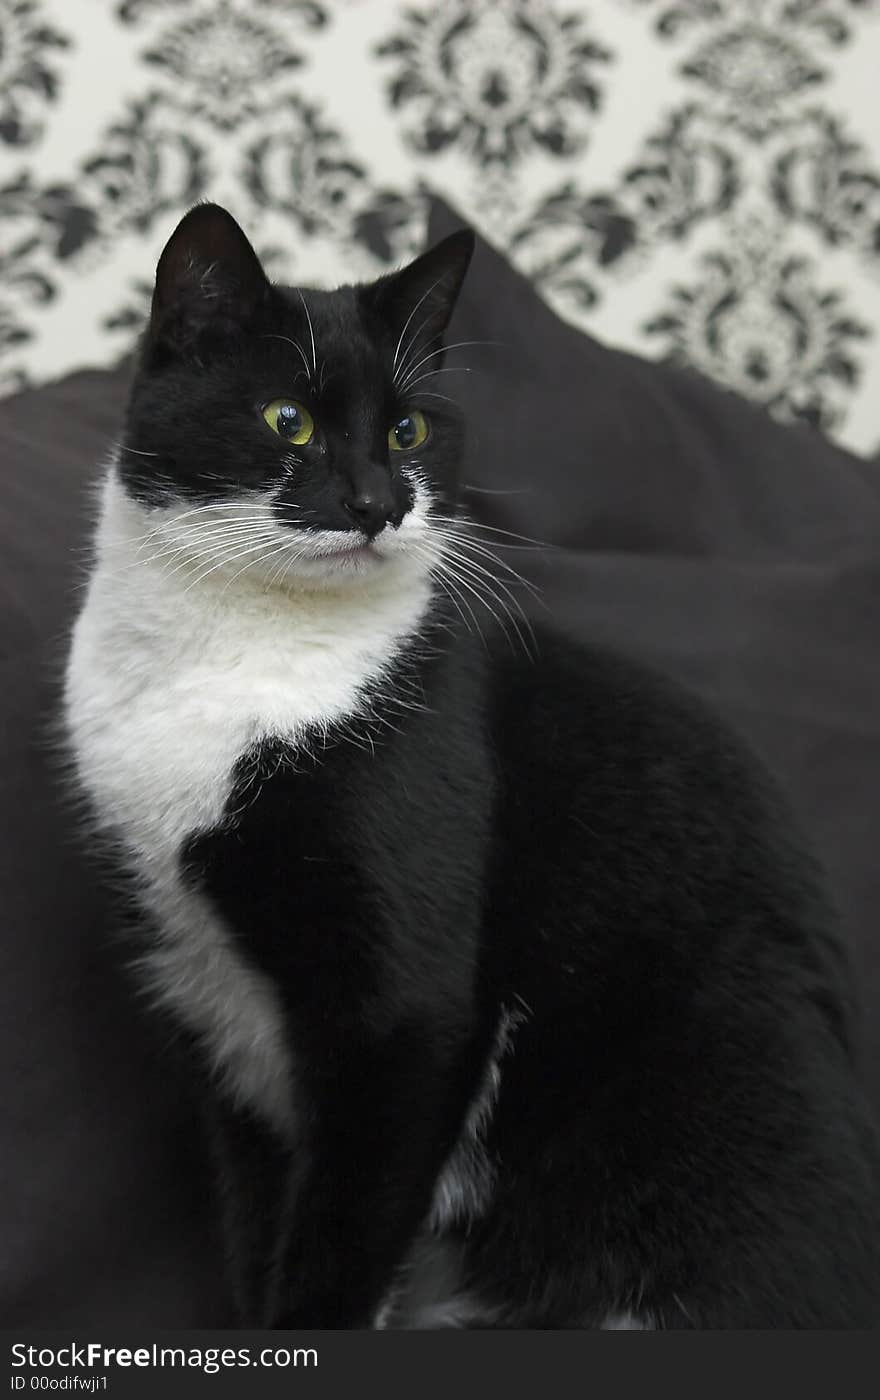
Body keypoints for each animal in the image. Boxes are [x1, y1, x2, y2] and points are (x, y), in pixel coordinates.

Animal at [65, 203, 878, 1327]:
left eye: (408, 430)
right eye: (288, 420)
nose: (376, 500)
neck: (237, 659)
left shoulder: (406, 1018)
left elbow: (343, 1236)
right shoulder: (205, 1005)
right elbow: (257, 1224)